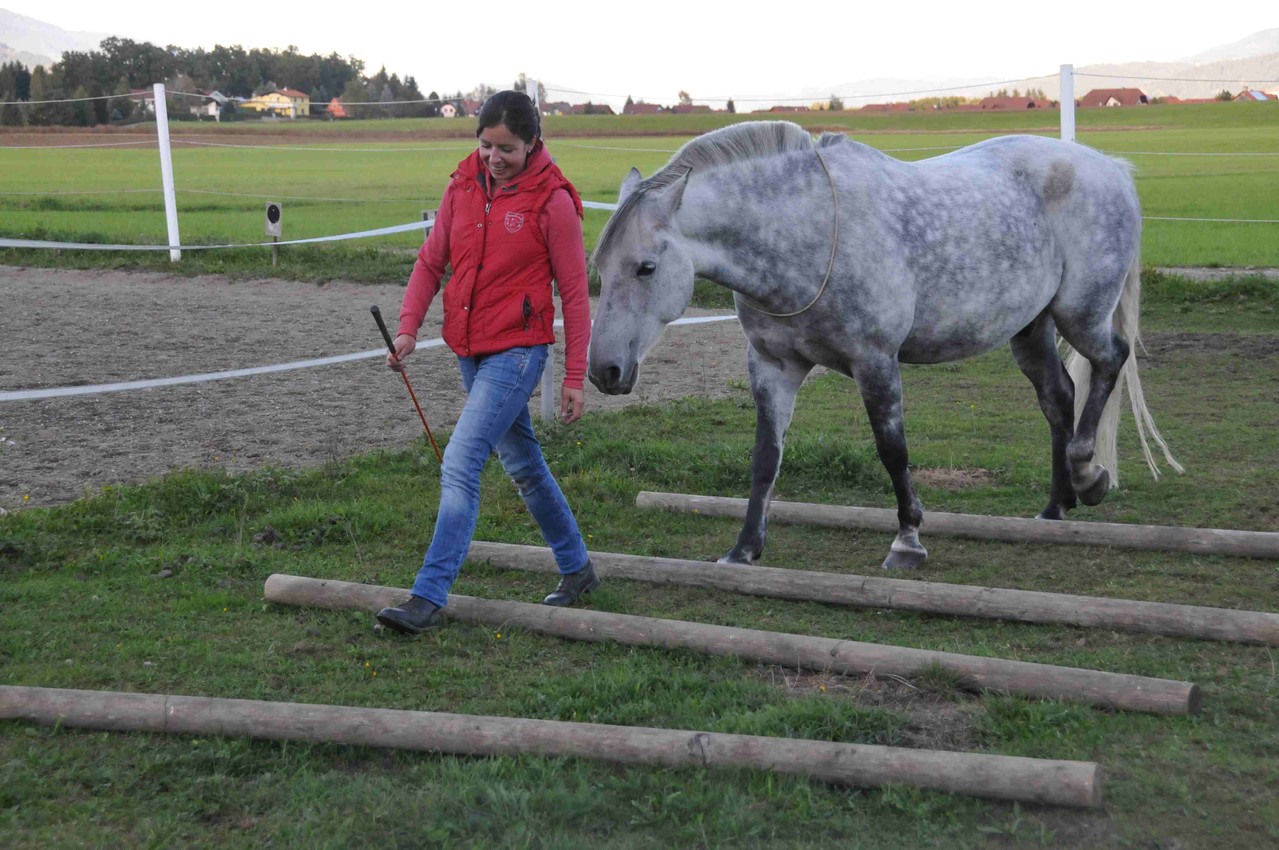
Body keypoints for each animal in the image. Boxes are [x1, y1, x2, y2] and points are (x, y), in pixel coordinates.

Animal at [585, 119, 1176, 567]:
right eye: (599, 267)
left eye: (645, 267)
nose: (604, 372)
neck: (805, 233)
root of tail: (1110, 168)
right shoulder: (773, 366)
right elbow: (765, 457)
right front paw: (744, 549)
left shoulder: (875, 362)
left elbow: (893, 450)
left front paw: (908, 540)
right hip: (1030, 329)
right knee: (1058, 397)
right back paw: (1056, 507)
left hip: (1080, 314)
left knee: (1110, 362)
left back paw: (1088, 475)